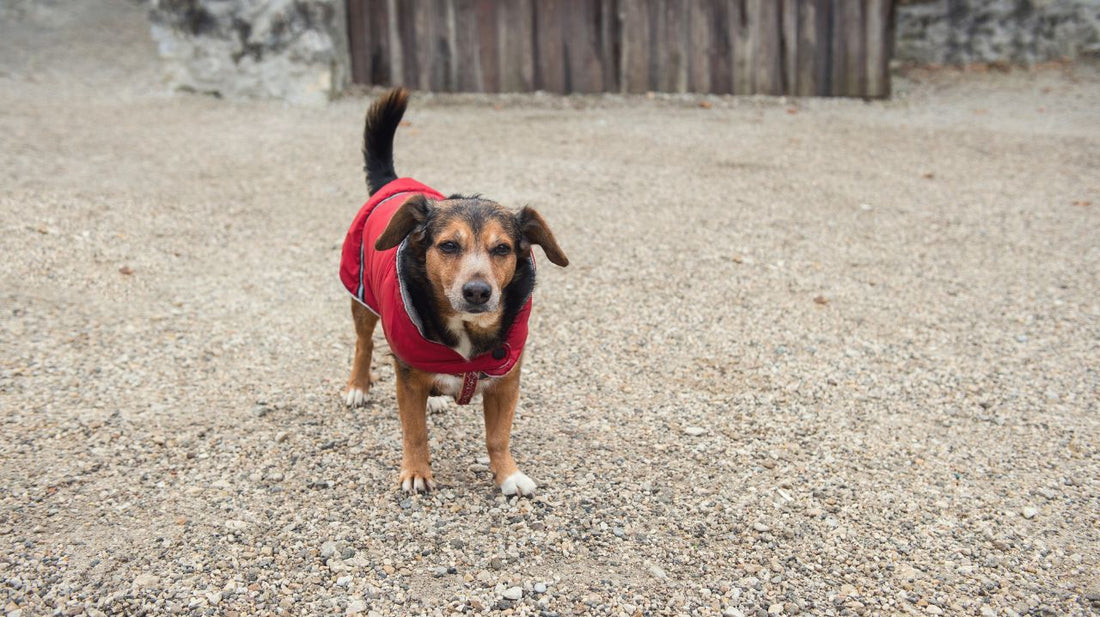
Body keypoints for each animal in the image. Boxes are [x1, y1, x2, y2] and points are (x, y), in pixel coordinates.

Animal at [336, 87, 572, 494]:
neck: (467, 330)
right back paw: (358, 386)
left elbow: (498, 436)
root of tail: (394, 183)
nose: (477, 291)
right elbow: (414, 431)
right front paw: (416, 472)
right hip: (362, 298)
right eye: (448, 246)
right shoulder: (408, 378)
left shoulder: (506, 380)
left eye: (502, 249)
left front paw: (508, 474)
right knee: (363, 344)